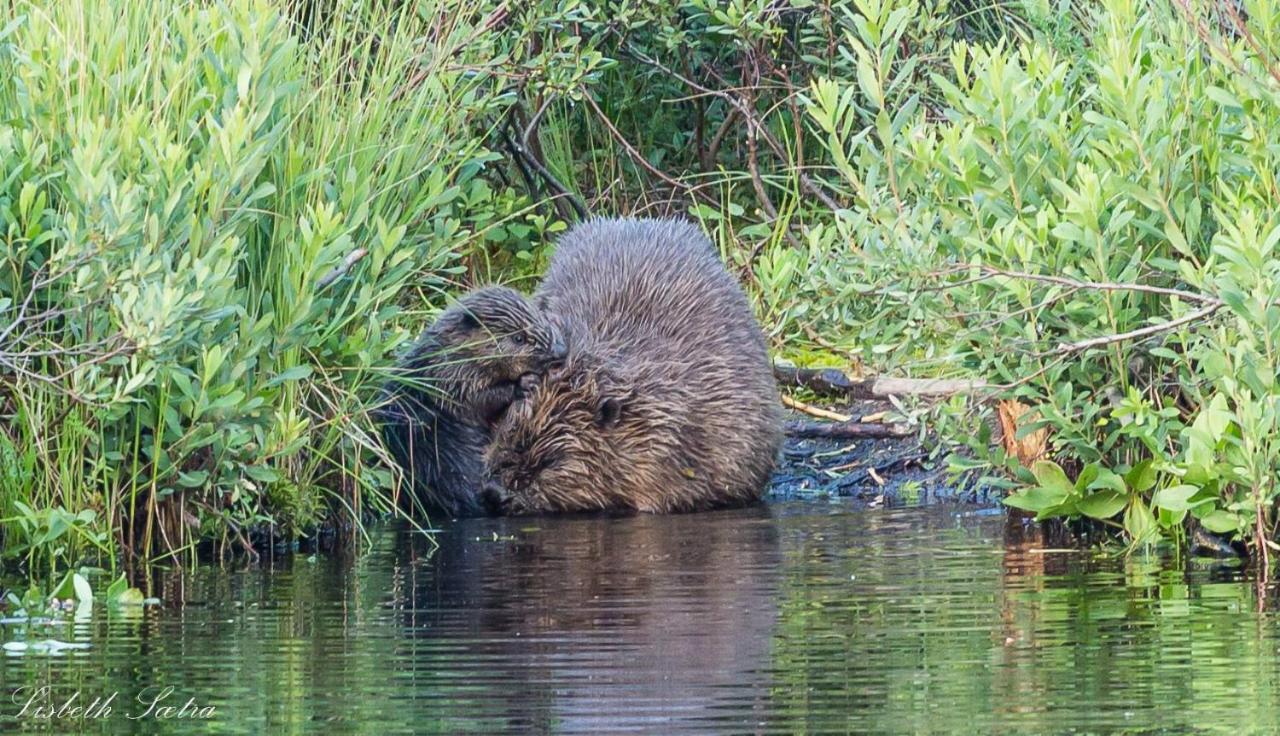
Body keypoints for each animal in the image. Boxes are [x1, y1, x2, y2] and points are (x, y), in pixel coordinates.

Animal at [373, 285, 568, 514]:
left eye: (541, 316)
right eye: (518, 338)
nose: (560, 350)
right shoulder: (451, 379)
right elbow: (478, 402)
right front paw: (525, 382)